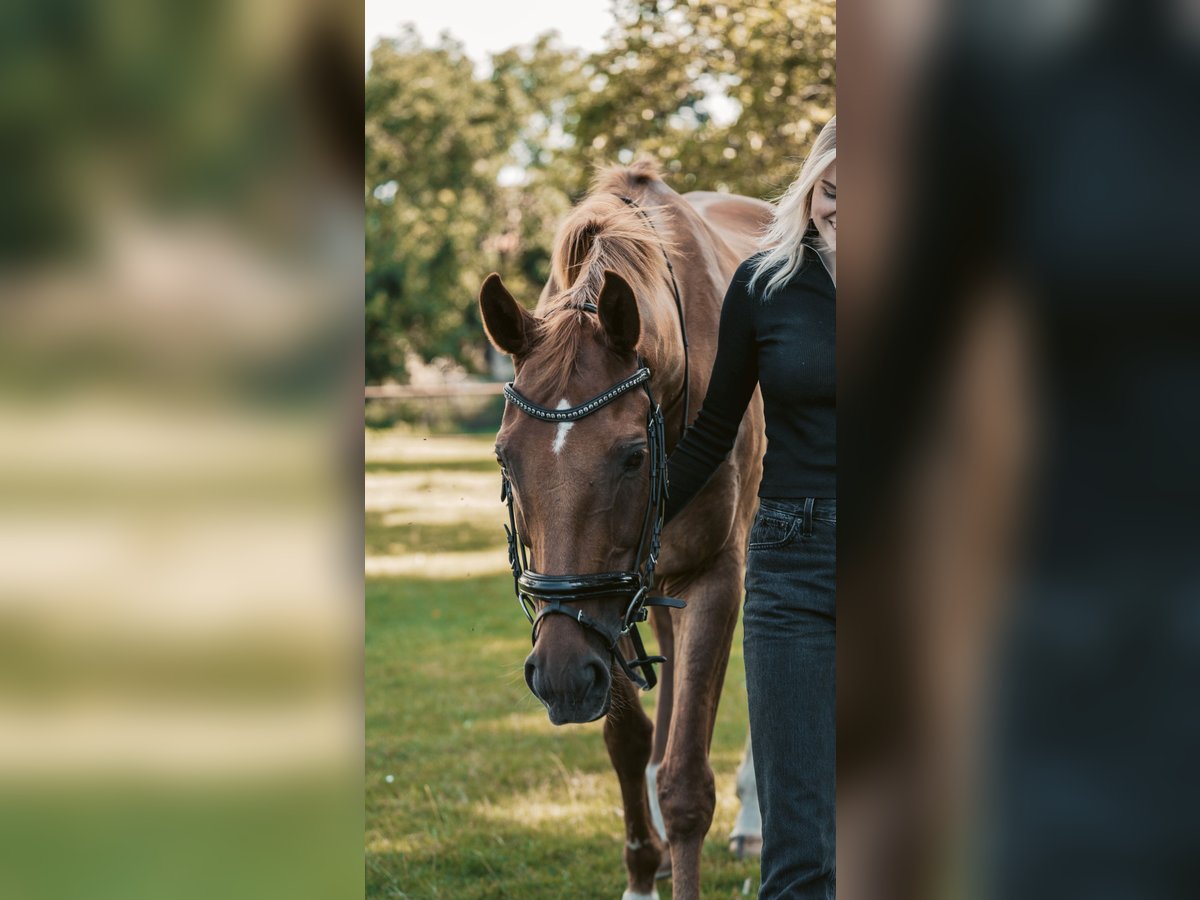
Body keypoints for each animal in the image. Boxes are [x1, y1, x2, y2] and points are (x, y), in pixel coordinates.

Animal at [477, 162, 768, 900]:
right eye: (505, 458)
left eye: (633, 456)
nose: (557, 678)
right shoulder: (598, 607)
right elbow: (628, 742)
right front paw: (643, 869)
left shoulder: (714, 575)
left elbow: (687, 781)